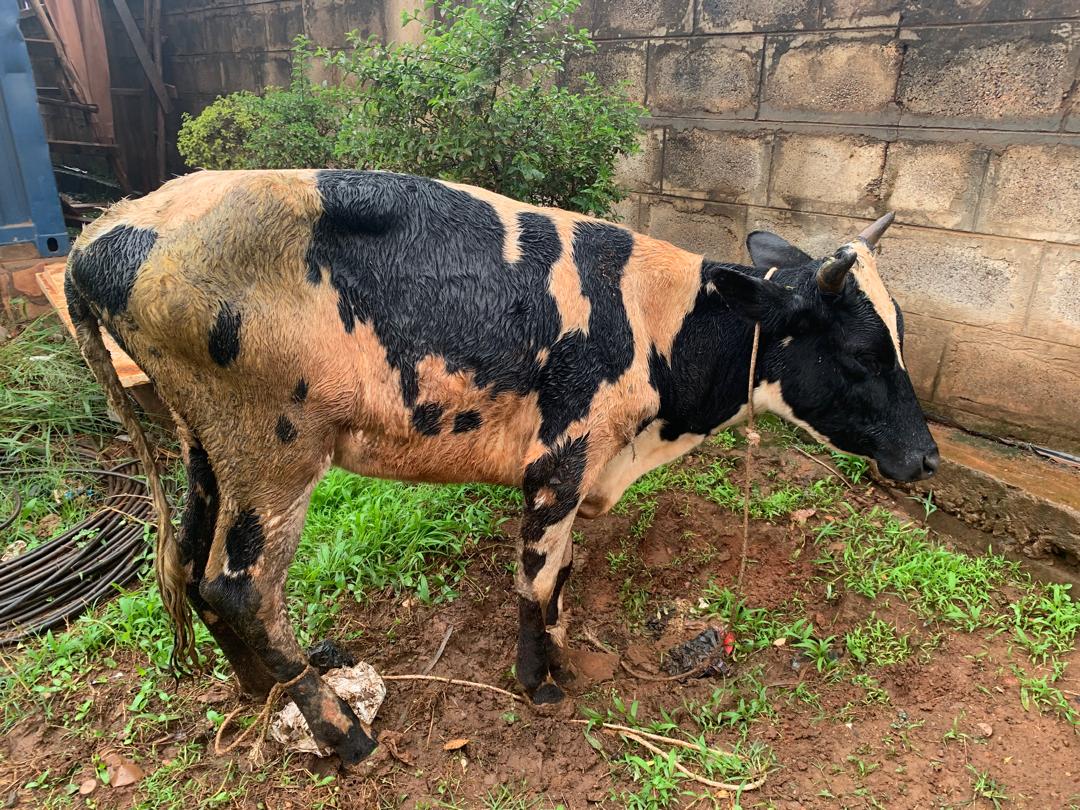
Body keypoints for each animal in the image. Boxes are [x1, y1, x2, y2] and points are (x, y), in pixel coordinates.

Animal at [64, 169, 938, 764]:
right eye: (861, 352)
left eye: (900, 334)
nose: (926, 457)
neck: (658, 326)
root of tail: (100, 236)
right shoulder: (561, 456)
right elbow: (537, 577)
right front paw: (537, 678)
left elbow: (565, 574)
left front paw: (565, 651)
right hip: (273, 449)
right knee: (238, 589)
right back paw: (345, 736)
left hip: (204, 446)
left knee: (187, 564)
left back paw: (263, 686)